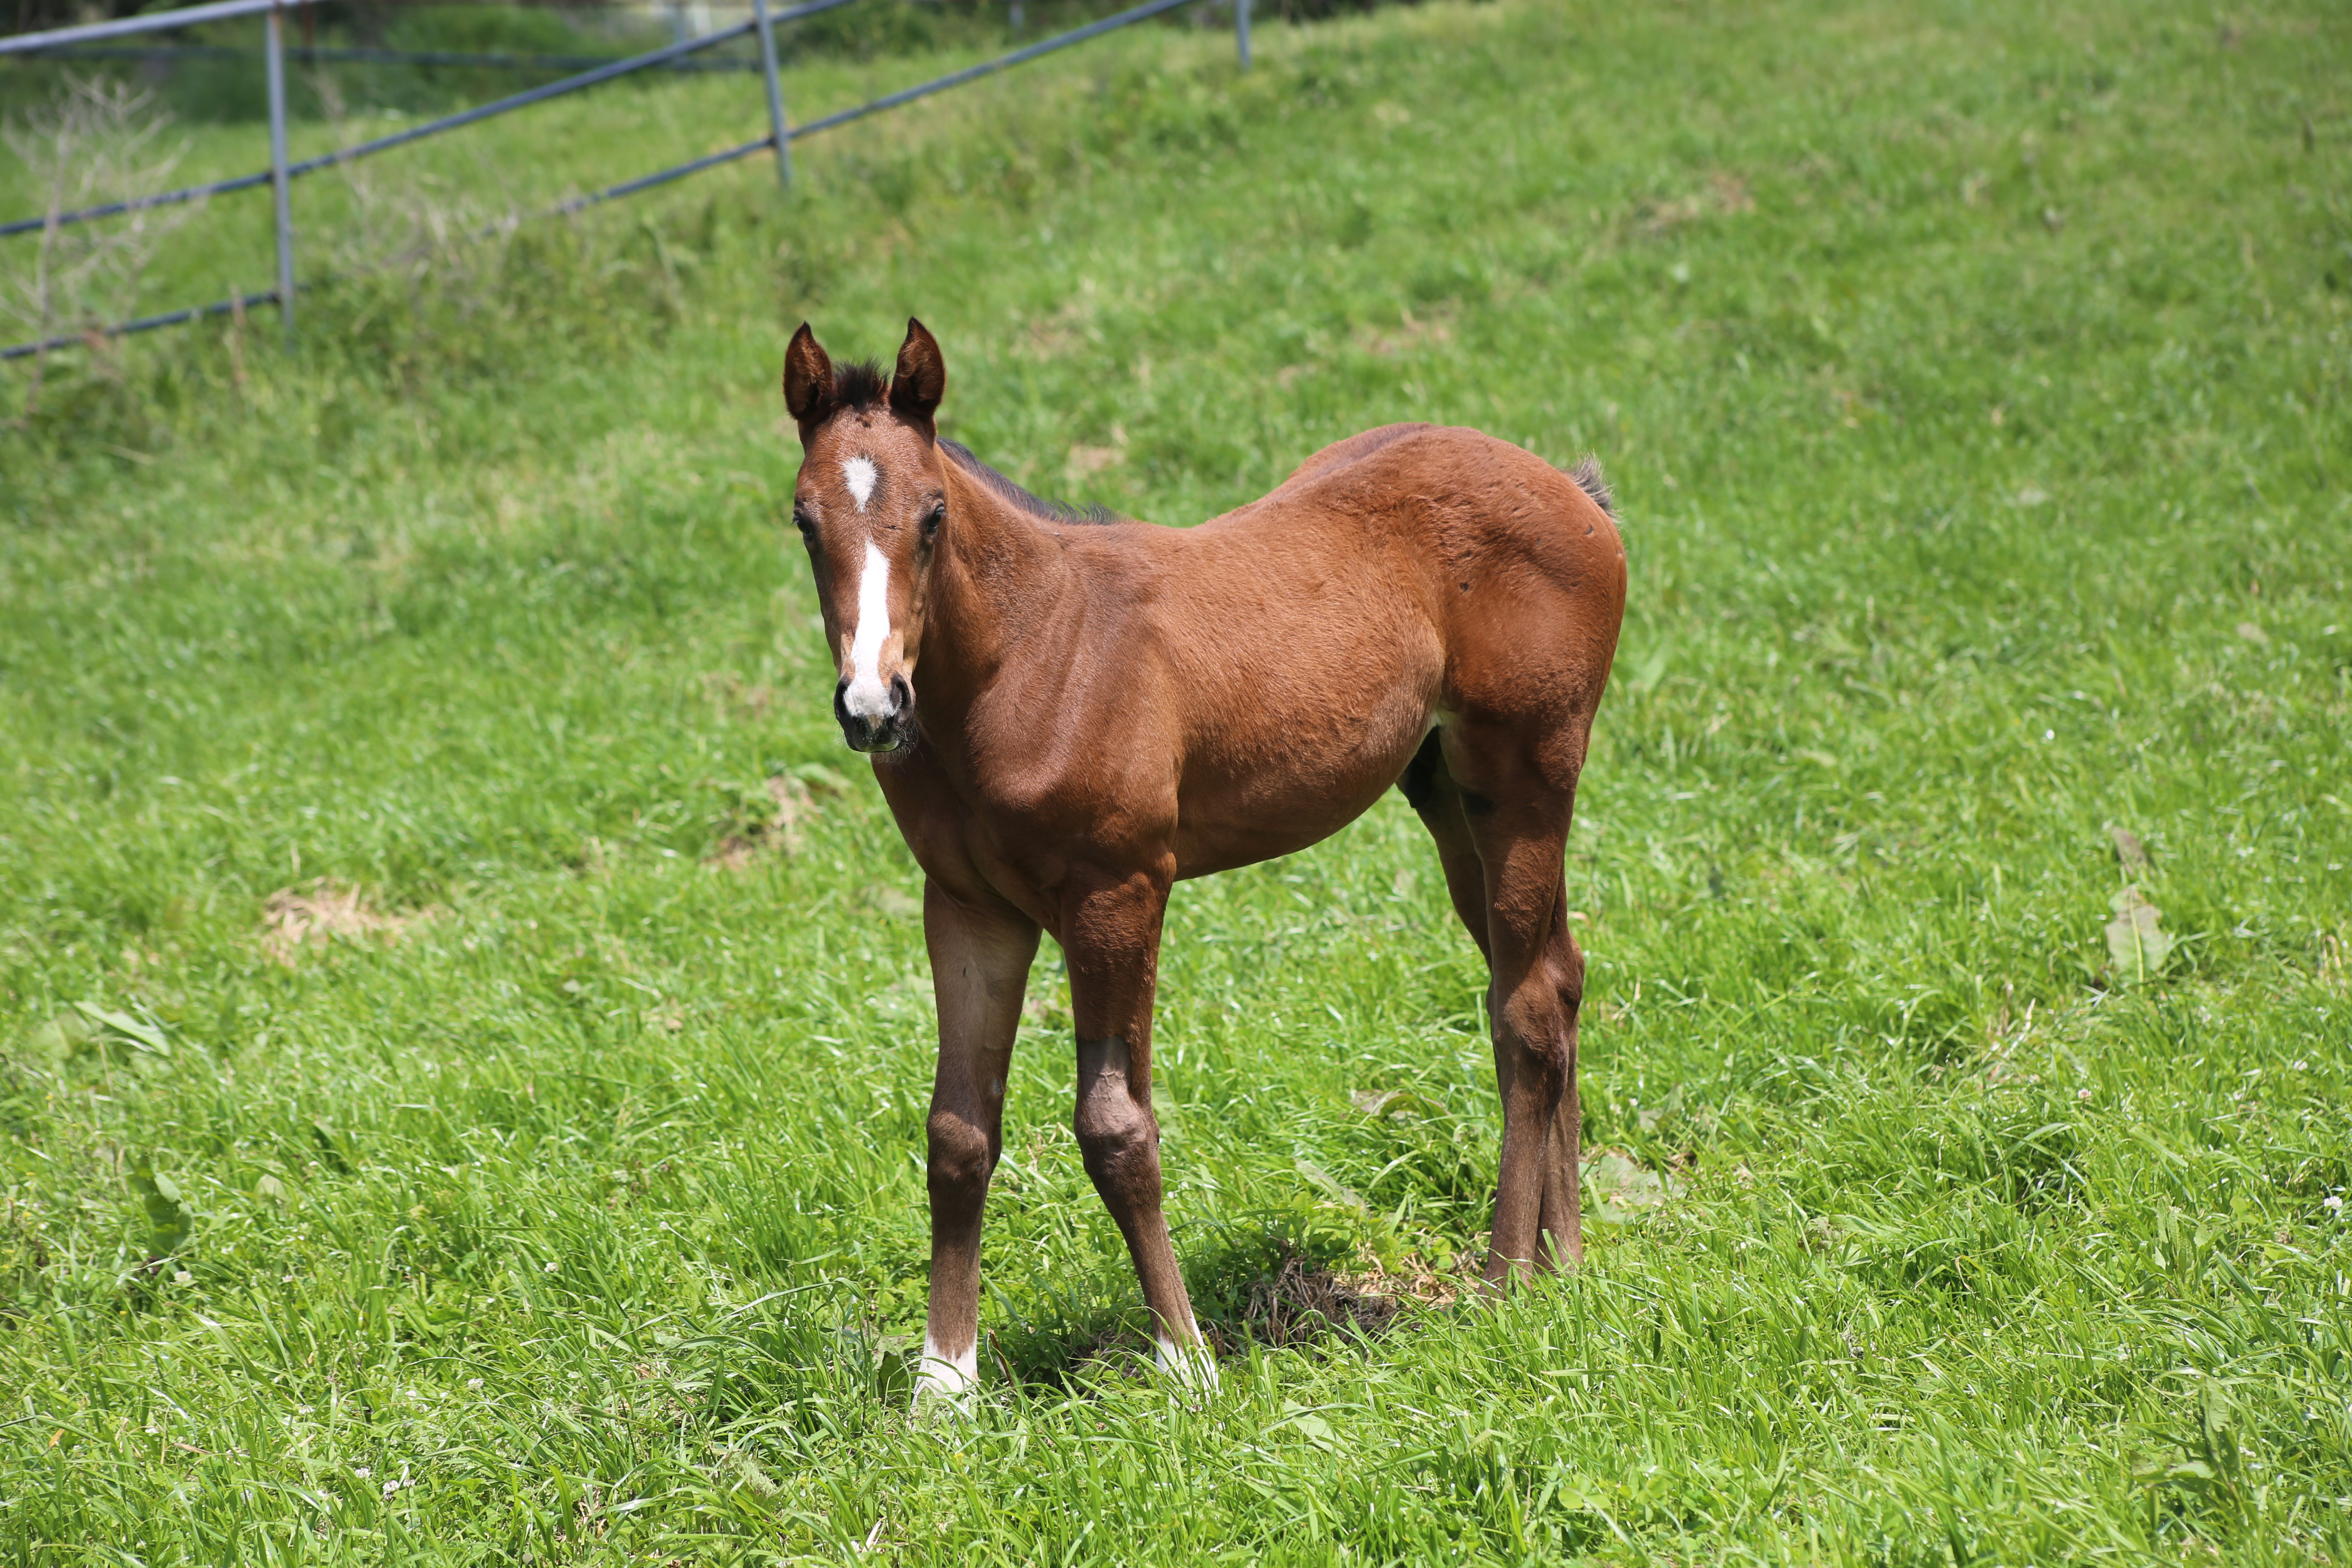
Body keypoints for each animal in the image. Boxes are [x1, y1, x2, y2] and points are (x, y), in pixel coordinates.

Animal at [781, 319, 1627, 1401]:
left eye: (931, 516)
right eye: (804, 521)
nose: (873, 707)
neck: (1032, 654)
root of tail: (1569, 489)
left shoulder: (1120, 894)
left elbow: (1114, 1124)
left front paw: (1184, 1363)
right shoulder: (969, 907)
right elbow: (958, 1131)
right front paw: (944, 1387)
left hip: (1525, 777)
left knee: (1524, 1009)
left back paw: (1504, 1276)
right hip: (1446, 794)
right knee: (1550, 976)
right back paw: (1564, 1260)